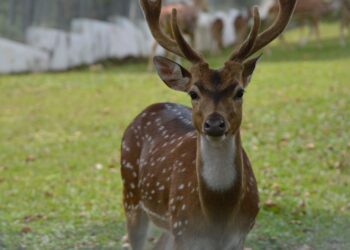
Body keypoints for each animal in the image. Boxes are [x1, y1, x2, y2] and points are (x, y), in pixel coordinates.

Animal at [120, 0, 296, 250]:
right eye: (193, 93)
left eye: (239, 91)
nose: (214, 124)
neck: (217, 214)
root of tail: (151, 107)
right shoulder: (183, 231)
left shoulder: (239, 235)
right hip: (131, 193)